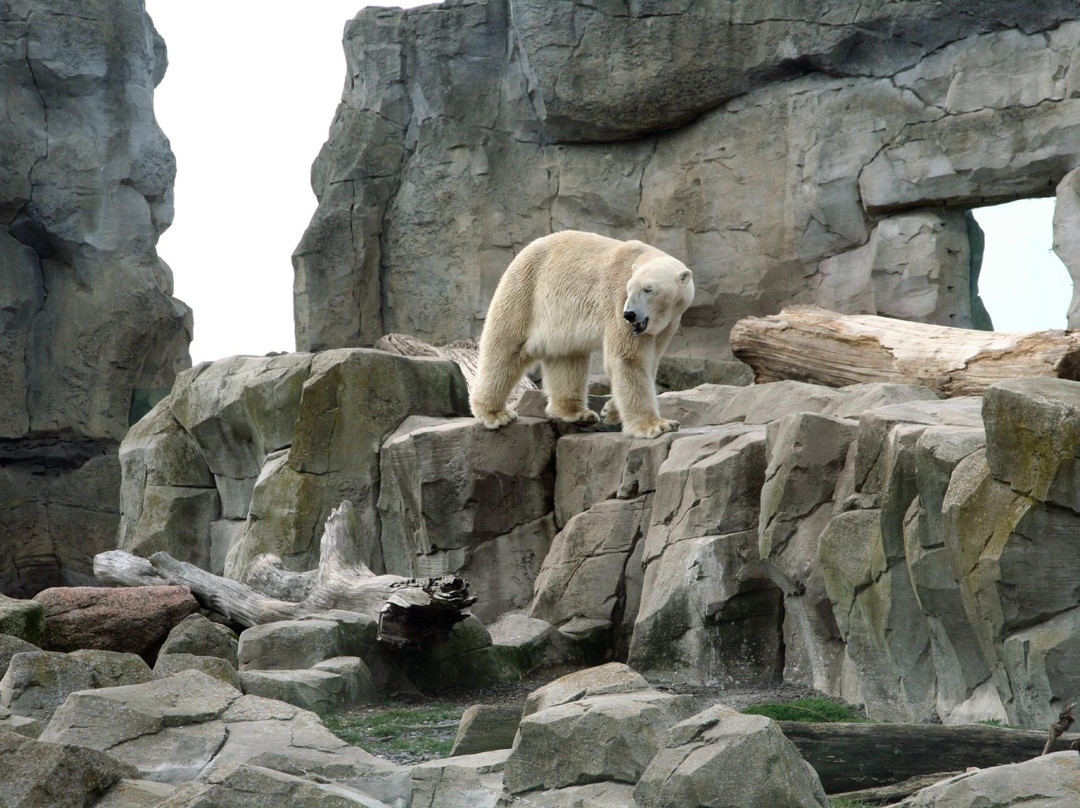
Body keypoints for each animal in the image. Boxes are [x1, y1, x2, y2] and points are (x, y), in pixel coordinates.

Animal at [470, 230, 691, 438]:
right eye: (630, 289)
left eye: (648, 289)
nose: (630, 314)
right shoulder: (617, 299)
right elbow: (628, 358)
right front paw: (657, 425)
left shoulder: (666, 324)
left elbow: (650, 361)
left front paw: (611, 410)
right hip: (525, 291)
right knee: (505, 348)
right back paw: (495, 413)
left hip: (559, 321)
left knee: (567, 358)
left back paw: (577, 413)